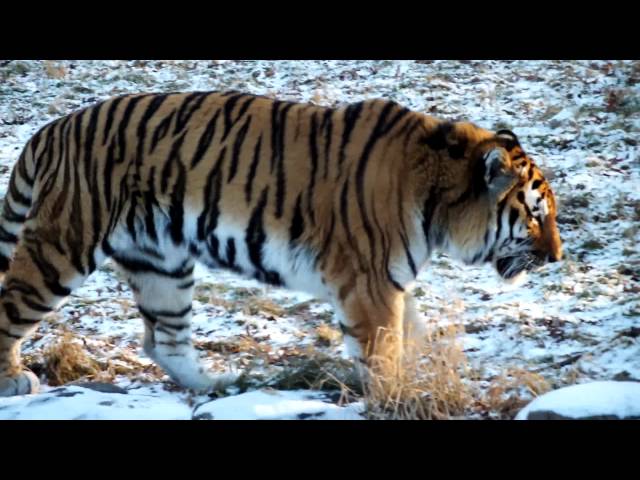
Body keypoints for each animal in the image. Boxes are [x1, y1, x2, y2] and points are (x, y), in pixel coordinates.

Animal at [0, 91, 562, 397]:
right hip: (63, 247)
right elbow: (383, 351)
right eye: (536, 215)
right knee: (11, 306)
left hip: (162, 264)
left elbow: (415, 334)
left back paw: (219, 386)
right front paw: (395, 395)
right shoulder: (370, 284)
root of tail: (51, 130)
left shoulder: (389, 282)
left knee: (164, 341)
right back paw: (14, 380)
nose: (557, 256)